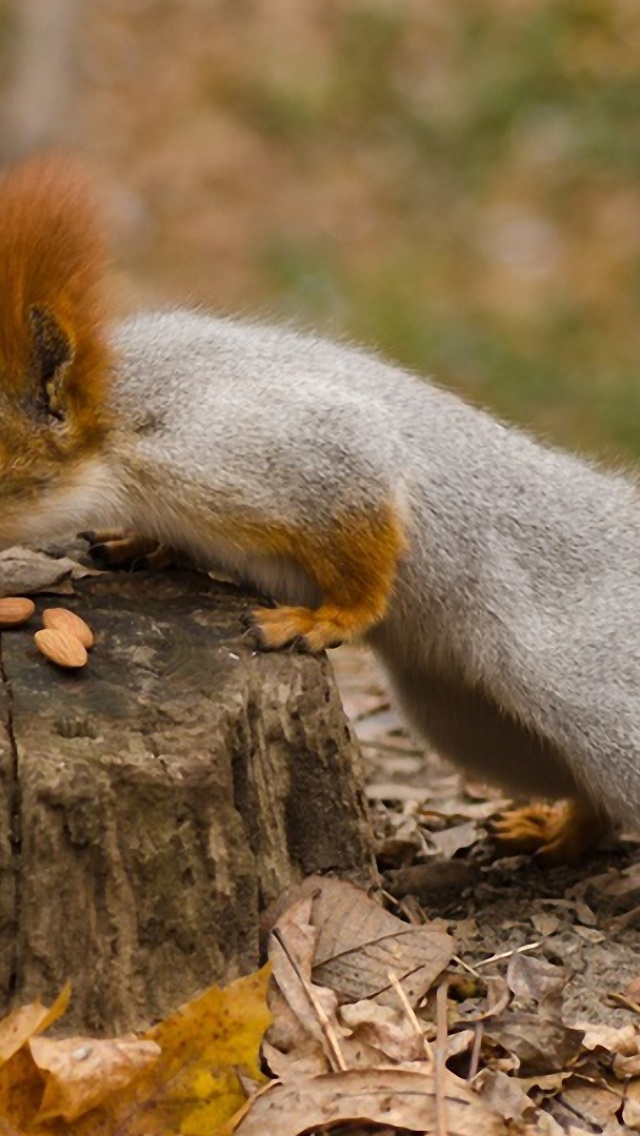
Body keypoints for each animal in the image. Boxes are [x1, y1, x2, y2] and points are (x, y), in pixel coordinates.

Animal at [1, 148, 640, 858]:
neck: (125, 417)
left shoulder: (277, 448)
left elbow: (364, 525)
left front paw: (324, 620)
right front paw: (140, 542)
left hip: (599, 699)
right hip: (473, 722)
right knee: (592, 797)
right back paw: (553, 829)